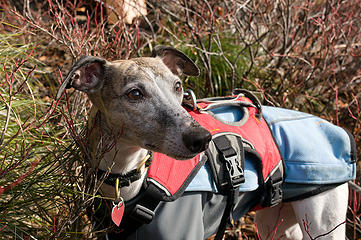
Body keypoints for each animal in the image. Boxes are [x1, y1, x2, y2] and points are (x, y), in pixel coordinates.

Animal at [56, 46, 348, 239]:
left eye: (177, 86)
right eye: (135, 94)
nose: (202, 139)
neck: (126, 180)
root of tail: (334, 127)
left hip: (324, 221)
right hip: (276, 223)